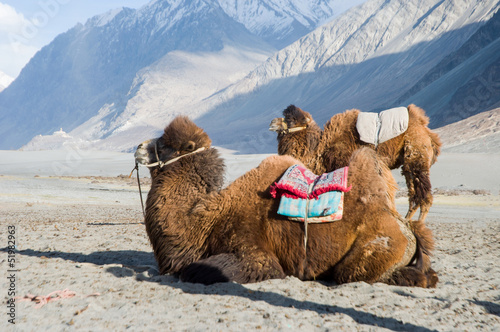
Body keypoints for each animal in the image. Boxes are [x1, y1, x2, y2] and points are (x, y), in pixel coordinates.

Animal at [136, 115, 438, 286]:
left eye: (164, 144)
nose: (138, 147)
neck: (205, 220)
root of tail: (407, 229)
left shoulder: (252, 250)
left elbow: (198, 270)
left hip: (375, 250)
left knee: (351, 274)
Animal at [270, 105, 442, 224]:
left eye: (291, 120)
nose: (272, 122)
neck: (322, 148)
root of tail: (427, 132)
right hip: (407, 163)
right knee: (414, 193)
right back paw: (406, 219)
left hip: (417, 155)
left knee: (424, 195)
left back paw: (418, 223)